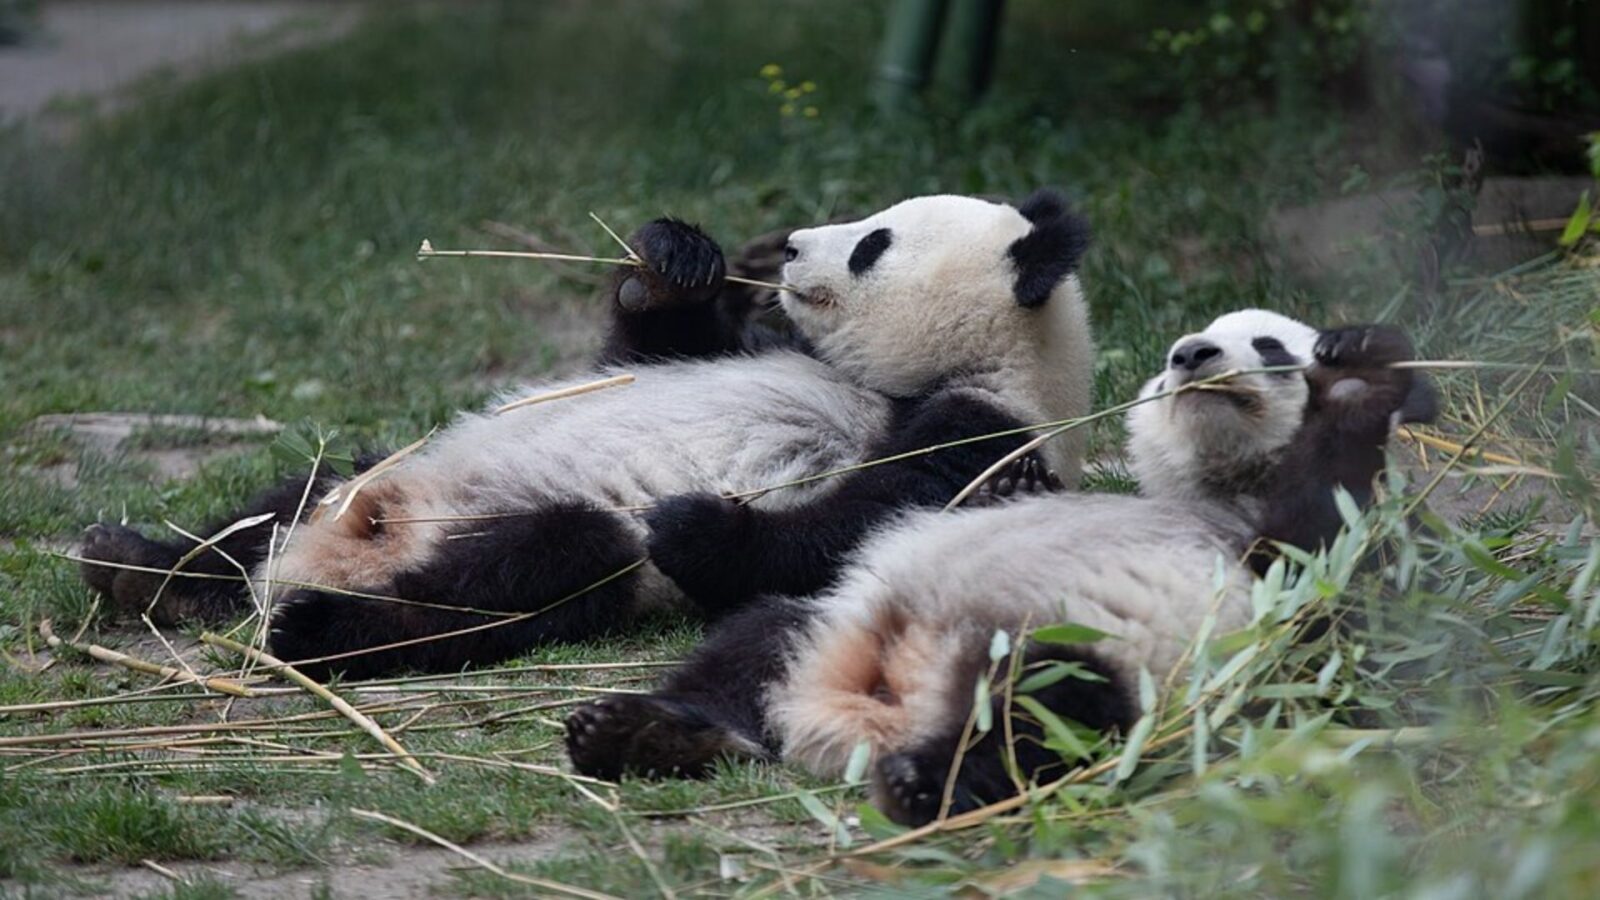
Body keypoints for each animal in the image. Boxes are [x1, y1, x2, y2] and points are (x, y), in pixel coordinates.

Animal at [77, 190, 1096, 679]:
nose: (796, 244)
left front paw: (698, 524)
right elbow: (648, 347)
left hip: (521, 546)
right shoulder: (746, 346)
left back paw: (319, 627)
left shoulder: (987, 428)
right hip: (369, 474)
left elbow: (858, 530)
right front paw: (675, 260)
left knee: (543, 567)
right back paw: (142, 568)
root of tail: (335, 553)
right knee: (283, 501)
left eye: (873, 243)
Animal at [563, 310, 1439, 826]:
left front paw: (1357, 380)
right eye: (1170, 357)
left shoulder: (1284, 577)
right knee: (753, 644)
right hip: (831, 619)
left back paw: (923, 780)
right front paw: (1013, 485)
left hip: (1090, 659)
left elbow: (1333, 574)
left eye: (1270, 346)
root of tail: (884, 703)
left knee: (1046, 713)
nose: (1192, 355)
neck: (1216, 493)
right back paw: (645, 733)